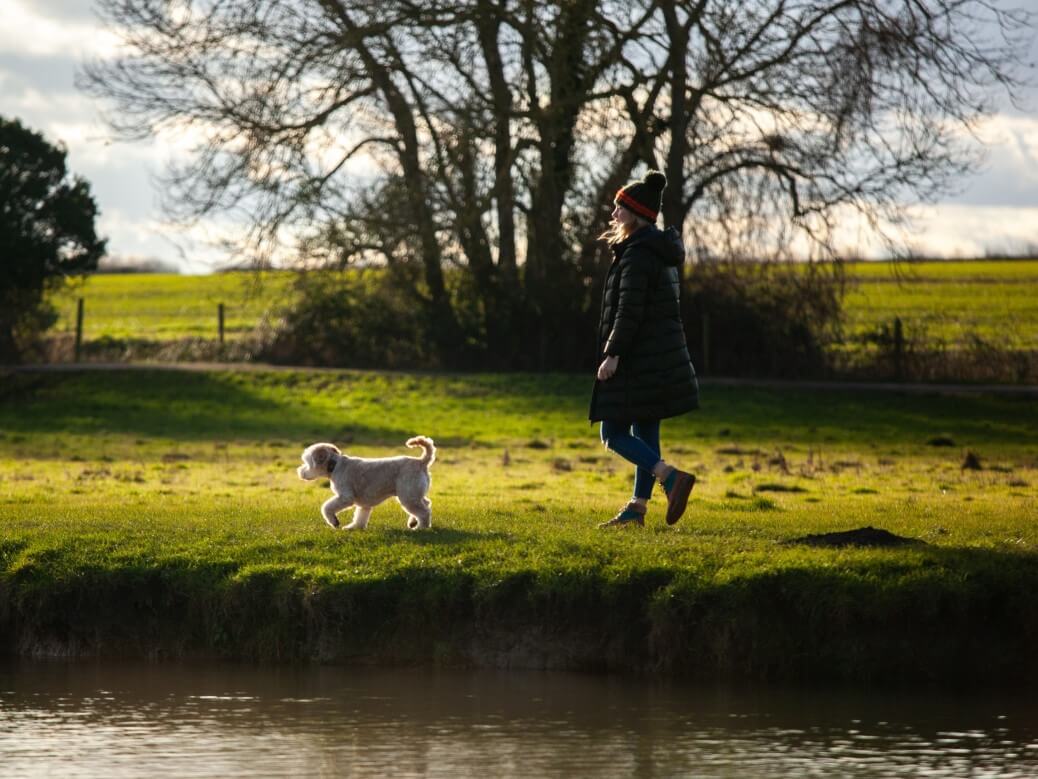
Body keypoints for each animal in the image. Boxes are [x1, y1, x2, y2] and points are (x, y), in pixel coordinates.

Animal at [298, 436, 435, 535]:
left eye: (307, 462)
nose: (299, 471)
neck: (335, 466)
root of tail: (421, 462)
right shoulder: (364, 503)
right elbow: (360, 517)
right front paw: (354, 527)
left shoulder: (345, 497)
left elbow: (326, 507)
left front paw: (334, 521)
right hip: (414, 493)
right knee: (426, 503)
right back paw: (413, 522)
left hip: (408, 496)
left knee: (424, 512)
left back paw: (421, 527)